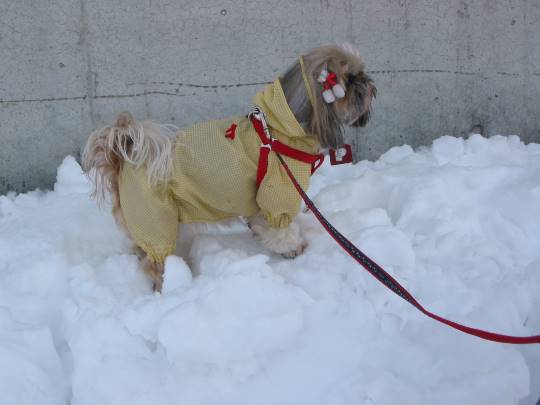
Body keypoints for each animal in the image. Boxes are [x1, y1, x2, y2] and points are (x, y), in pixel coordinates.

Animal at [83, 44, 376, 290]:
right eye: (350, 79)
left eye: (360, 73)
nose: (368, 83)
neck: (279, 130)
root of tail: (121, 160)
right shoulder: (276, 193)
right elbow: (281, 229)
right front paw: (293, 248)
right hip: (156, 220)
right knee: (155, 261)